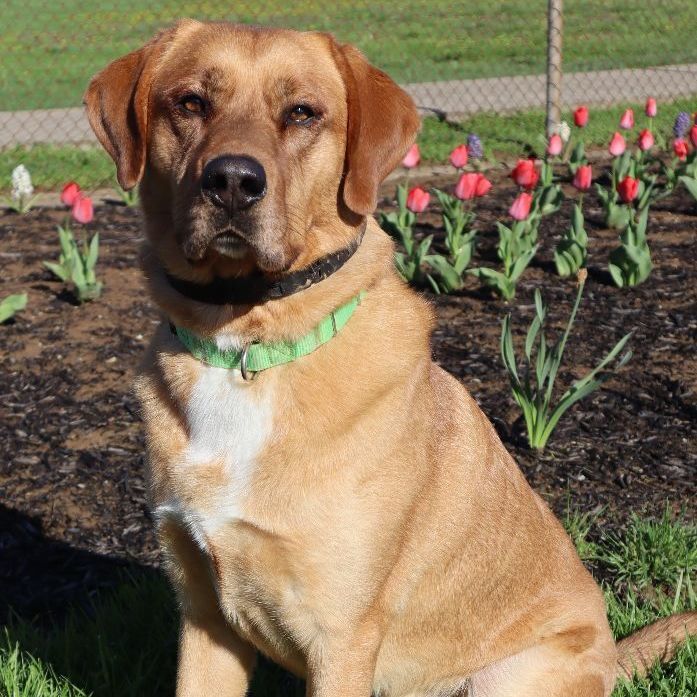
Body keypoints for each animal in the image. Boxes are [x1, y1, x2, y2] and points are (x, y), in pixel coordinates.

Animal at [87, 19, 696, 692]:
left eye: (302, 113)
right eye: (191, 103)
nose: (233, 182)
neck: (248, 344)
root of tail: (614, 658)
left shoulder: (341, 637)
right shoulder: (203, 619)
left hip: (507, 675)